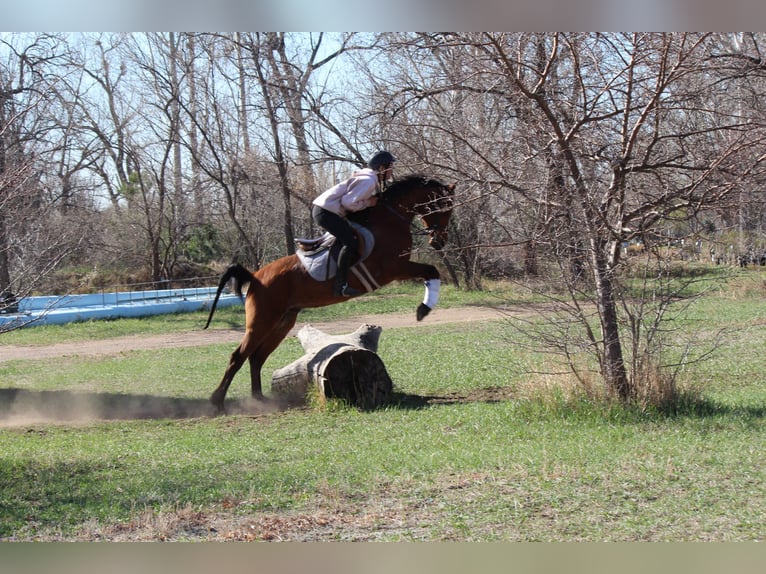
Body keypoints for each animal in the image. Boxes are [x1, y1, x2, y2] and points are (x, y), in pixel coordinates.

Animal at [203, 174, 455, 414]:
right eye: (444, 206)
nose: (439, 241)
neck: (391, 219)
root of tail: (255, 277)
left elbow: (431, 273)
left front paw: (424, 308)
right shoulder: (395, 268)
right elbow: (431, 270)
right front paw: (423, 309)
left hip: (282, 322)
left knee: (256, 358)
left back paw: (259, 400)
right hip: (261, 322)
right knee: (238, 356)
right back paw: (217, 403)